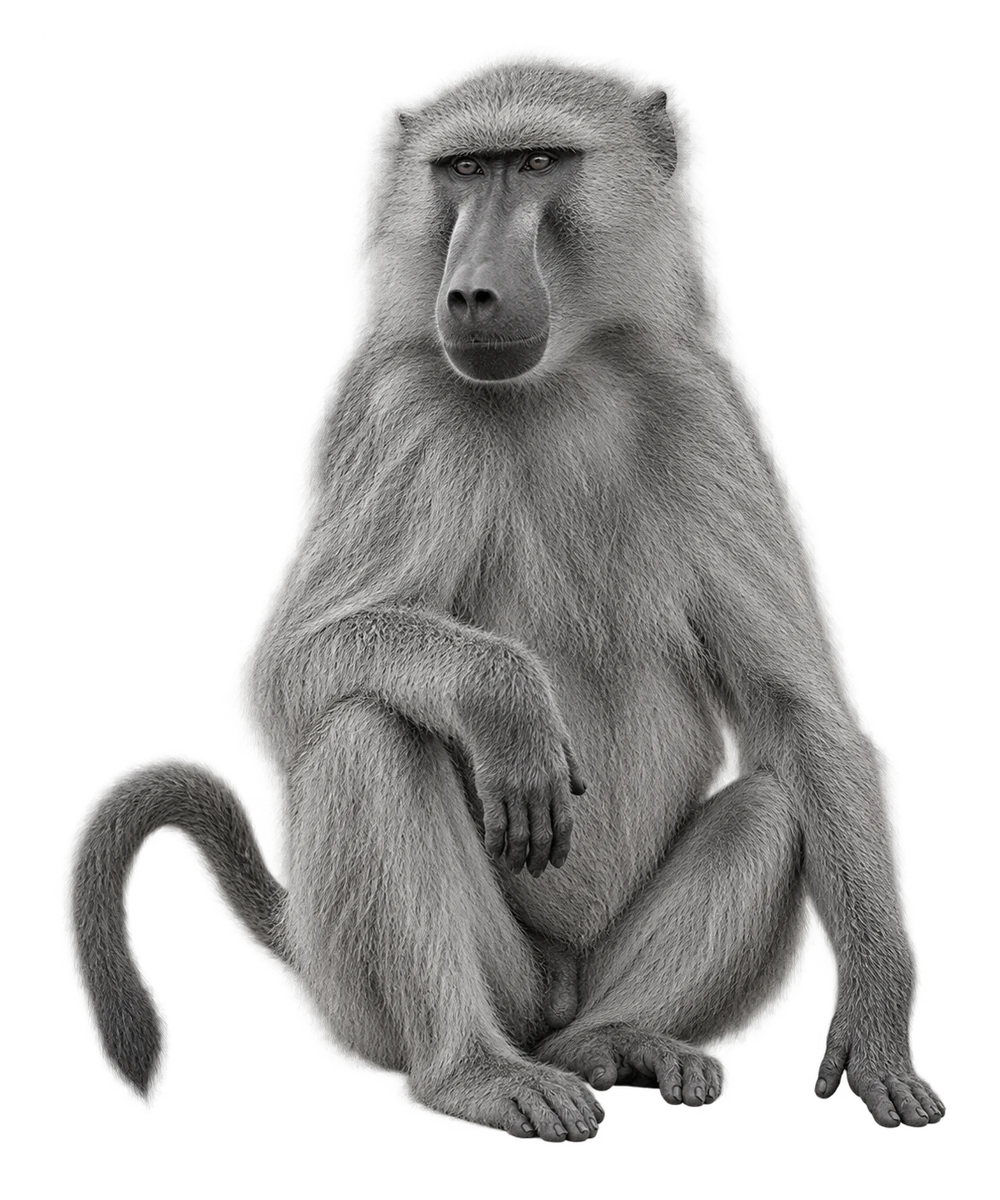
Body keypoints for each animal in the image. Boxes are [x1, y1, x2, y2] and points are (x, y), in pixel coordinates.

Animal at [61, 48, 946, 1140]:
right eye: (464, 170)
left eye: (535, 163)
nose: (475, 293)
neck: (554, 382)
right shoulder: (404, 409)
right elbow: (292, 667)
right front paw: (503, 698)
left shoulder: (697, 408)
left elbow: (804, 712)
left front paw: (878, 1026)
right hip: (411, 988)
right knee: (369, 732)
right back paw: (473, 1072)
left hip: (594, 968)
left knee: (774, 804)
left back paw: (619, 1045)